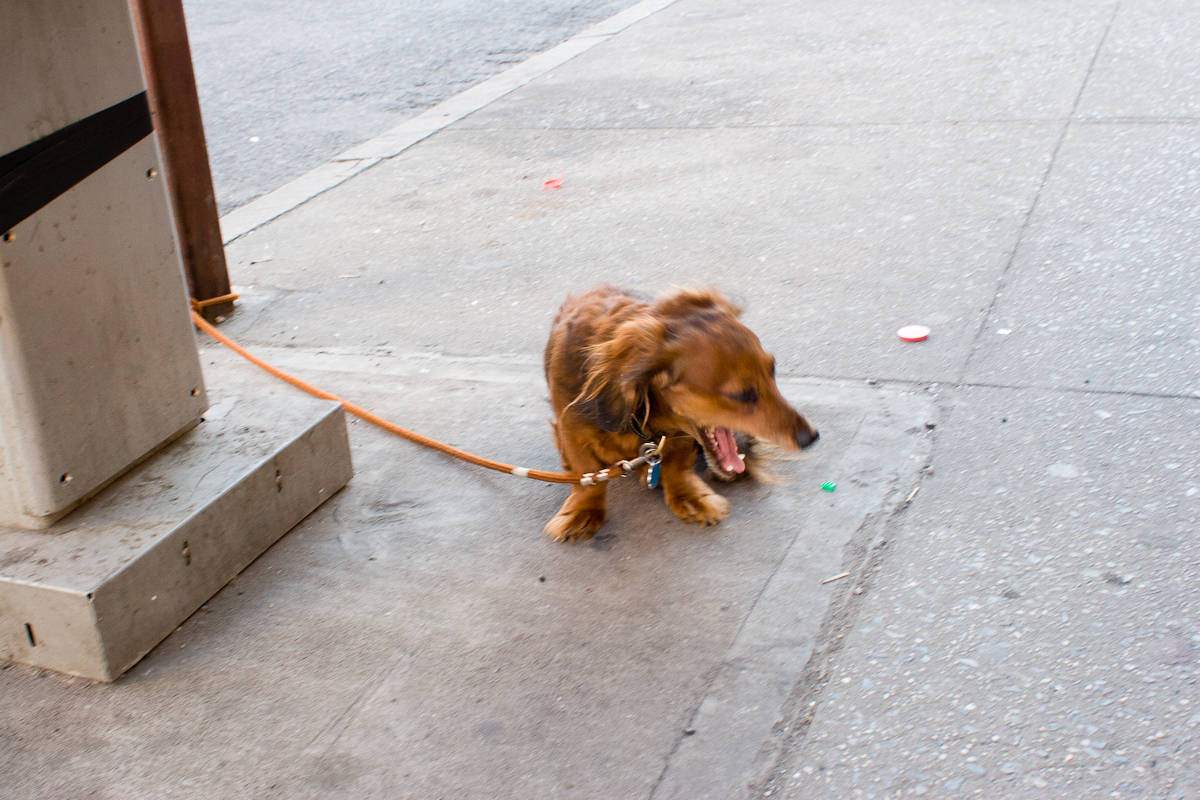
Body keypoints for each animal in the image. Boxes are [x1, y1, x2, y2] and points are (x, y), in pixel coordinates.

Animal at [547, 284, 820, 542]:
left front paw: (689, 496)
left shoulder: (680, 436)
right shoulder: (570, 429)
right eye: (742, 394)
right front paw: (583, 511)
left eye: (773, 369)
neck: (642, 420)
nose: (811, 438)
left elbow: (677, 467)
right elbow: (587, 473)